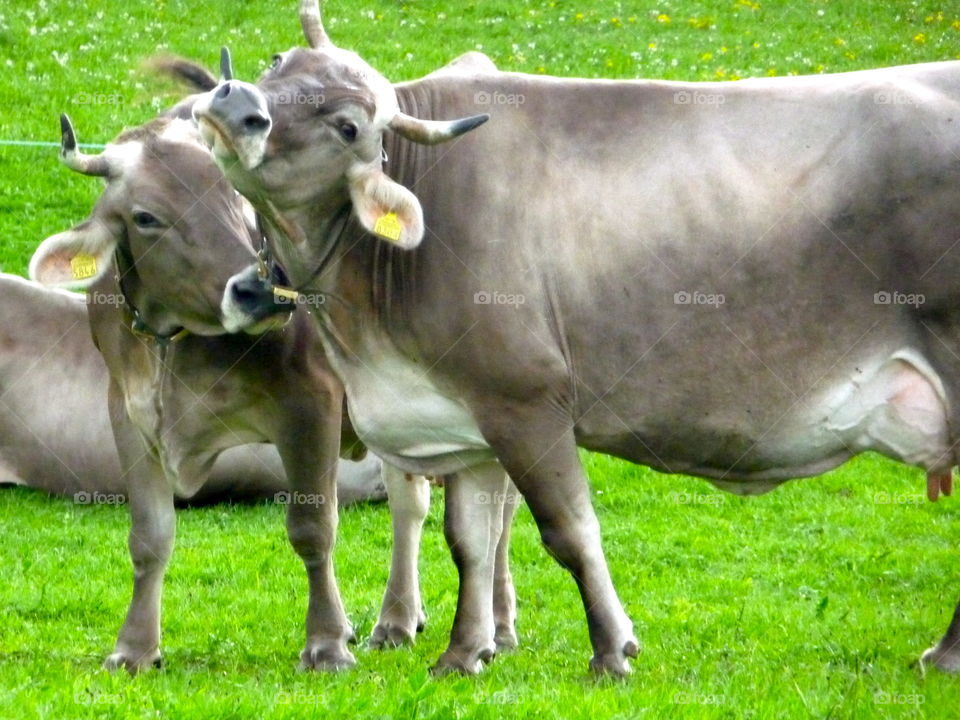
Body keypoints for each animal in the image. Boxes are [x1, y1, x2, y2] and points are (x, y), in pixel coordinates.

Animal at [192, 0, 960, 676]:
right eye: (278, 61)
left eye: (349, 126)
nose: (235, 105)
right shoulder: (463, 411)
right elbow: (469, 539)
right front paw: (462, 655)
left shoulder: (527, 400)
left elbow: (569, 530)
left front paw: (611, 650)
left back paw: (944, 658)